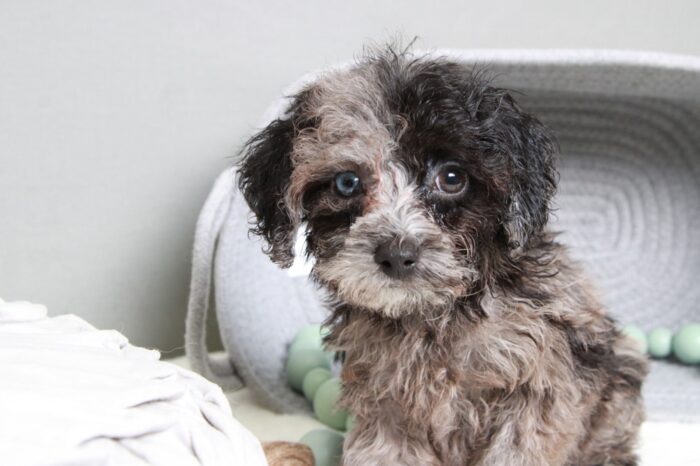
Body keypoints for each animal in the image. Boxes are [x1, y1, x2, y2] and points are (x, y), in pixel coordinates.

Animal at [238, 48, 648, 466]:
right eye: (346, 183)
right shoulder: (386, 399)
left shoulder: (542, 380)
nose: (396, 255)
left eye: (452, 178)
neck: (435, 315)